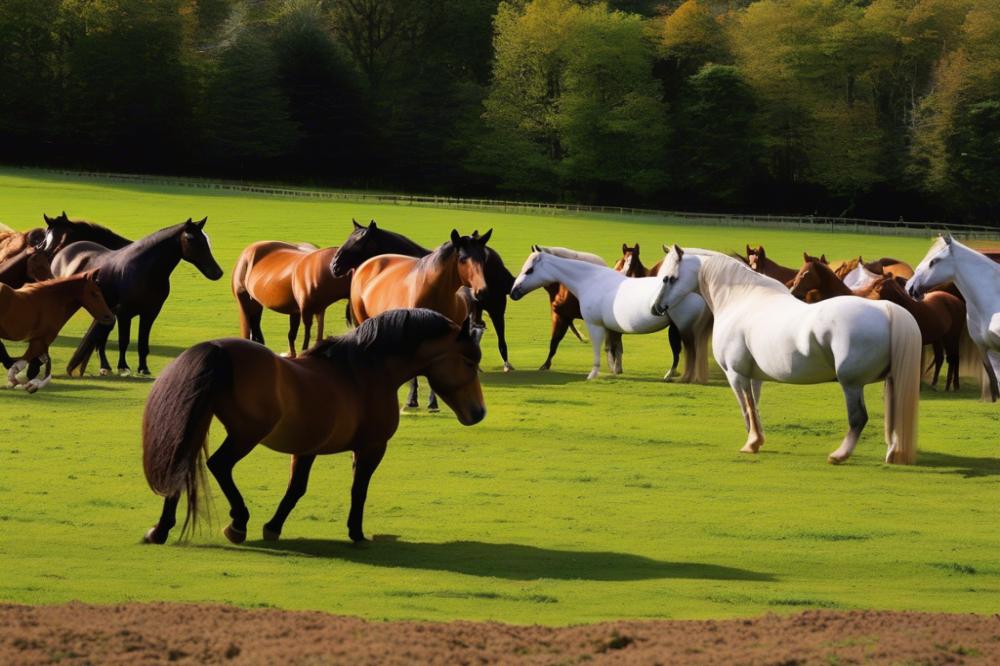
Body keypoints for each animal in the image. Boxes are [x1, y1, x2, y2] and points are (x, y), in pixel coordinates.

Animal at [51, 217, 224, 377]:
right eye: (190, 239)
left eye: (205, 239)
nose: (217, 272)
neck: (143, 269)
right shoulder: (124, 314)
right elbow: (124, 341)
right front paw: (123, 367)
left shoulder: (150, 313)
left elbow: (142, 343)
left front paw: (143, 368)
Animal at [140, 308, 485, 545]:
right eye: (469, 362)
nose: (479, 413)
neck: (362, 372)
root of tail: (218, 349)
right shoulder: (372, 448)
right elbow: (359, 489)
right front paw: (356, 532)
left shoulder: (308, 448)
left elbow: (296, 489)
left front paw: (273, 527)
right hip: (245, 435)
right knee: (220, 465)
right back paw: (238, 522)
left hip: (201, 423)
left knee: (182, 464)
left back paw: (160, 529)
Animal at [332, 220, 517, 372]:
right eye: (349, 239)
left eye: (358, 243)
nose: (334, 265)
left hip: (496, 308)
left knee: (500, 337)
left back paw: (505, 364)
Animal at [350, 229, 490, 410]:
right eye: (463, 259)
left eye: (483, 258)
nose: (482, 291)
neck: (433, 292)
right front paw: (412, 400)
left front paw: (433, 402)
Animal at [651, 246, 920, 464]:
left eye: (669, 278)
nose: (656, 308)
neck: (741, 299)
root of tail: (886, 310)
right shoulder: (753, 377)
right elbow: (754, 407)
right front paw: (756, 441)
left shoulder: (735, 375)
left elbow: (746, 408)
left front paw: (751, 443)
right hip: (891, 383)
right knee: (894, 418)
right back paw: (892, 453)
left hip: (851, 384)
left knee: (858, 418)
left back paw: (839, 455)